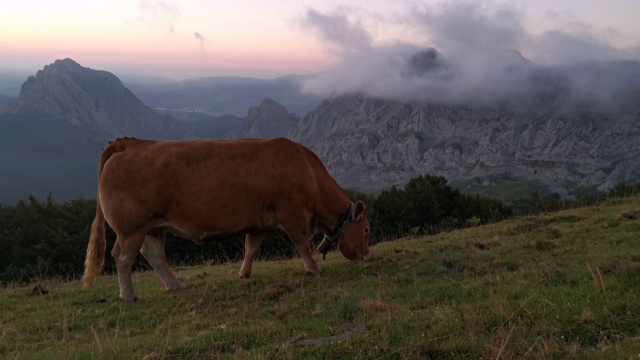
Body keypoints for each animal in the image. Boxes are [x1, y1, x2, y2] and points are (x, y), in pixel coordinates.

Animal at [81, 137, 370, 300]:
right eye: (367, 230)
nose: (367, 256)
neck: (308, 171)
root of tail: (132, 143)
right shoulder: (293, 214)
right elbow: (302, 245)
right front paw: (313, 269)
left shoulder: (259, 222)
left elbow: (251, 248)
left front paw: (244, 274)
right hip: (131, 228)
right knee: (123, 257)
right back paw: (128, 295)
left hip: (153, 228)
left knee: (153, 255)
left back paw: (175, 286)